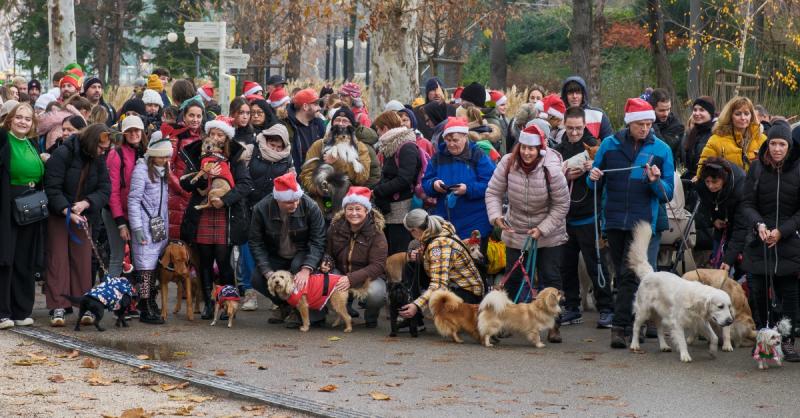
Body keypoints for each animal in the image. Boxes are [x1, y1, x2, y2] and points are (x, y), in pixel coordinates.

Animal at [628, 222, 736, 362]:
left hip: (660, 313)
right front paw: (685, 355)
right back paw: (634, 344)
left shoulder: (701, 321)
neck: (695, 300)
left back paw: (664, 346)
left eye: (729, 306)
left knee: (659, 330)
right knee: (636, 327)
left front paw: (712, 351)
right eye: (720, 306)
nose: (730, 321)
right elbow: (683, 341)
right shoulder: (677, 322)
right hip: (643, 311)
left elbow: (715, 337)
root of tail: (650, 273)